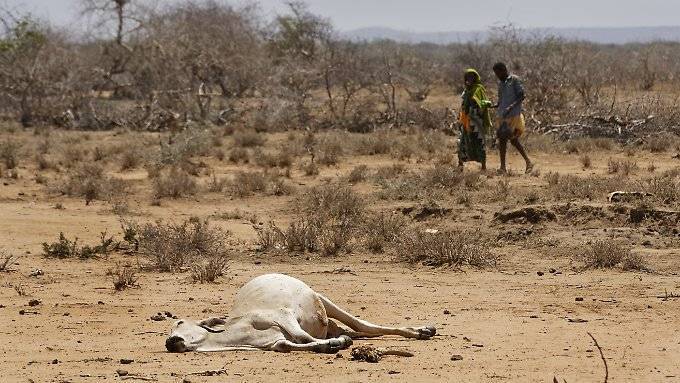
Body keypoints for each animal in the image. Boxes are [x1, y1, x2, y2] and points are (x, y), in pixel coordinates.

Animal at [167, 272, 438, 354]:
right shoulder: (277, 343)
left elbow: (302, 337)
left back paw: (423, 331)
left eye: (179, 322)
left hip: (322, 300)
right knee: (360, 332)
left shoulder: (284, 317)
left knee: (364, 326)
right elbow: (293, 344)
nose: (170, 342)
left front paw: (338, 343)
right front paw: (333, 344)